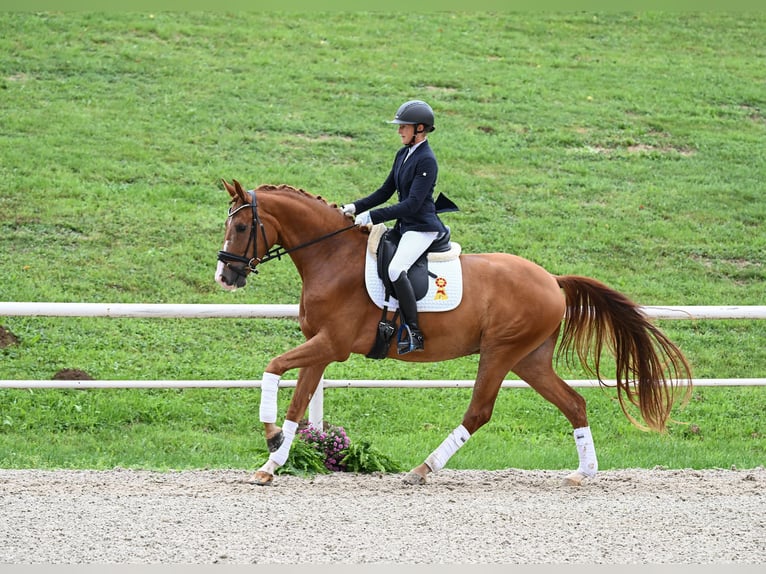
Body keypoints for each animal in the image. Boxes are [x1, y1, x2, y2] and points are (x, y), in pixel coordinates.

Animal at [213, 180, 692, 486]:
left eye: (242, 227)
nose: (225, 276)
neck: (331, 257)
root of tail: (552, 280)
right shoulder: (322, 349)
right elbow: (296, 402)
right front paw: (272, 462)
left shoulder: (332, 345)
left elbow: (273, 366)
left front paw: (270, 436)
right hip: (529, 358)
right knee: (574, 403)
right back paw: (583, 473)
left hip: (500, 352)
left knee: (479, 411)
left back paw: (423, 469)